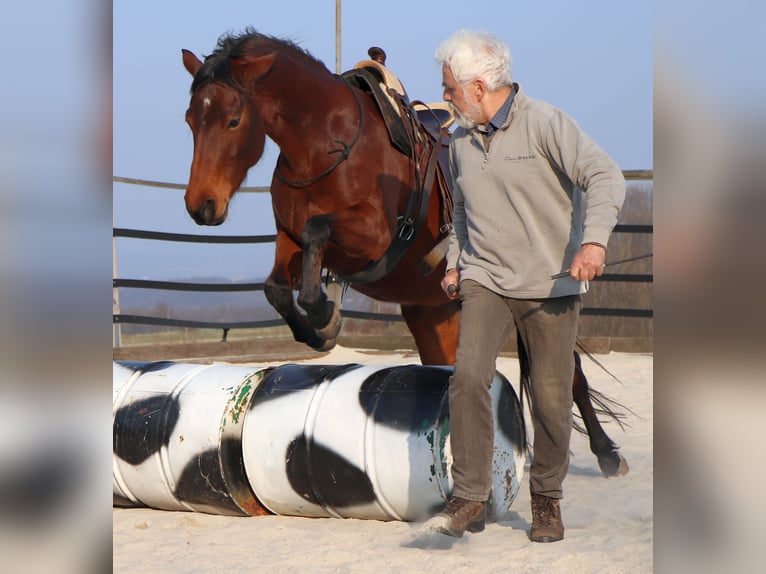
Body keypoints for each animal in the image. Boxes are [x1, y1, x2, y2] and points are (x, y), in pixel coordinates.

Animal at [181, 28, 628, 478]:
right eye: (190, 120)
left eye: (233, 120)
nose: (201, 206)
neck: (324, 145)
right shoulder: (288, 242)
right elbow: (276, 286)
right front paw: (317, 330)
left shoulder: (371, 236)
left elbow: (317, 231)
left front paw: (324, 315)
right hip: (437, 316)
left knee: (569, 375)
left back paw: (607, 451)